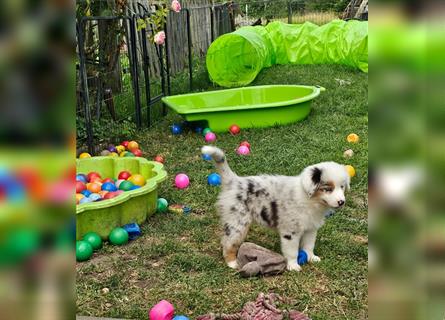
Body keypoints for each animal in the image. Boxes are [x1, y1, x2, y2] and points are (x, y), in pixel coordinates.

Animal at [202, 146, 350, 272]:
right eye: (328, 189)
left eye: (342, 187)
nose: (341, 202)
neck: (310, 200)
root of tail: (234, 181)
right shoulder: (290, 232)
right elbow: (292, 251)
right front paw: (293, 266)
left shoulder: (311, 229)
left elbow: (308, 246)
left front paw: (312, 258)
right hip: (238, 222)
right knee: (228, 242)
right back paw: (232, 263)